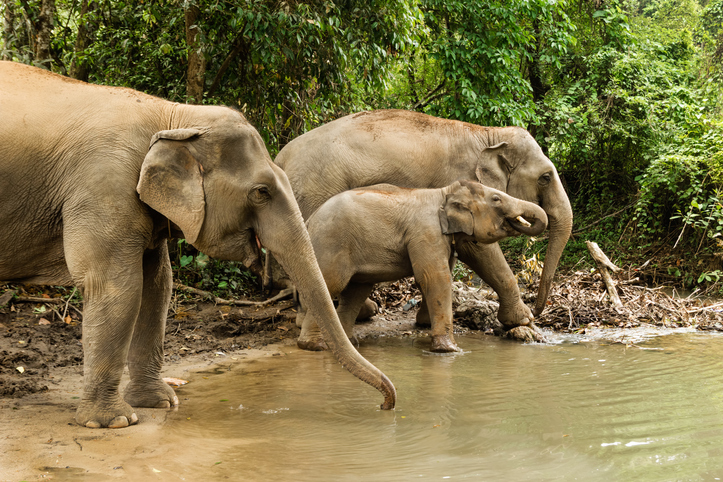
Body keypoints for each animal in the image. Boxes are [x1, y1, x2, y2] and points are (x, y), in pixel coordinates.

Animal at [0, 61, 395, 428]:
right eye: (261, 192)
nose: (387, 404)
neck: (173, 115)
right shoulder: (102, 187)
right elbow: (118, 287)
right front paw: (114, 422)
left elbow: (157, 286)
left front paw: (160, 403)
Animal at [299, 180, 548, 352]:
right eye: (496, 199)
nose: (535, 314)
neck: (444, 193)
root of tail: (309, 220)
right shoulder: (426, 232)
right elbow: (436, 278)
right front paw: (450, 351)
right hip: (331, 244)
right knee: (330, 285)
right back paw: (315, 346)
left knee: (355, 292)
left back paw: (347, 344)